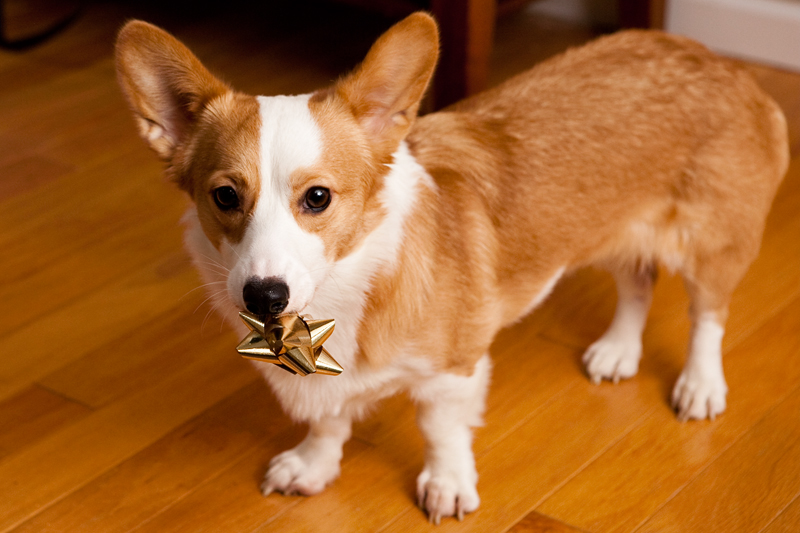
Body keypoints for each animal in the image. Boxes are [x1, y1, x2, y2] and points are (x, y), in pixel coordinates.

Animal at [115, 14, 792, 520]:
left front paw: (446, 487)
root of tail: (727, 66)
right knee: (638, 282)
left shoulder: (453, 371)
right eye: (226, 196)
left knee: (708, 315)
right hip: (614, 230)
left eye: (318, 198)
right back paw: (618, 351)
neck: (342, 294)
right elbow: (330, 422)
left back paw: (700, 386)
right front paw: (312, 466)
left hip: (712, 246)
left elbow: (440, 431)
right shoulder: (330, 386)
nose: (264, 296)